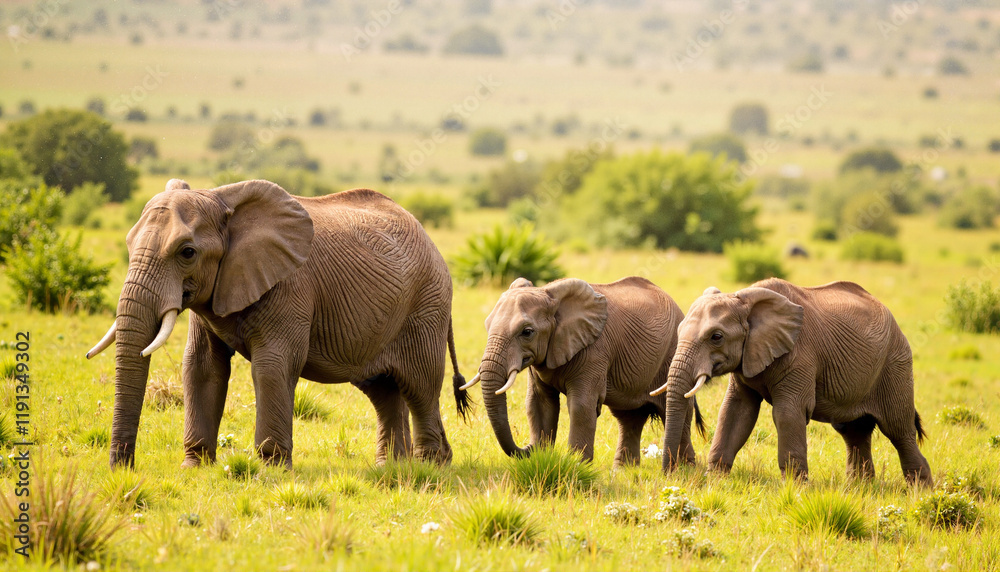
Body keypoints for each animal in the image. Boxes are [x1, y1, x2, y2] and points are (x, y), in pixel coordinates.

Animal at [87, 178, 470, 469]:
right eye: (128, 244)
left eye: (187, 252)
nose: (124, 468)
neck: (221, 198)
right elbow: (202, 366)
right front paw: (195, 467)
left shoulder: (290, 287)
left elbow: (273, 366)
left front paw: (269, 470)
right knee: (383, 390)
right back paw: (391, 467)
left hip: (426, 306)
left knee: (421, 385)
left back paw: (430, 467)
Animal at [463, 276, 699, 468]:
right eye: (487, 326)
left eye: (527, 332)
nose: (528, 447)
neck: (549, 293)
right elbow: (538, 404)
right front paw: (541, 457)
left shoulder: (594, 351)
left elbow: (581, 406)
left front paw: (576, 466)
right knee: (629, 418)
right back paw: (624, 471)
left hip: (671, 353)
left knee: (677, 412)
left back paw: (685, 471)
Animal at [654, 278, 933, 486]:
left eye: (716, 337)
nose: (672, 473)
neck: (744, 299)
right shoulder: (748, 358)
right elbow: (736, 411)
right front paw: (716, 479)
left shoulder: (799, 356)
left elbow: (788, 413)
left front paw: (795, 487)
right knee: (853, 431)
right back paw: (859, 487)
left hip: (895, 365)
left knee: (898, 428)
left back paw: (920, 490)